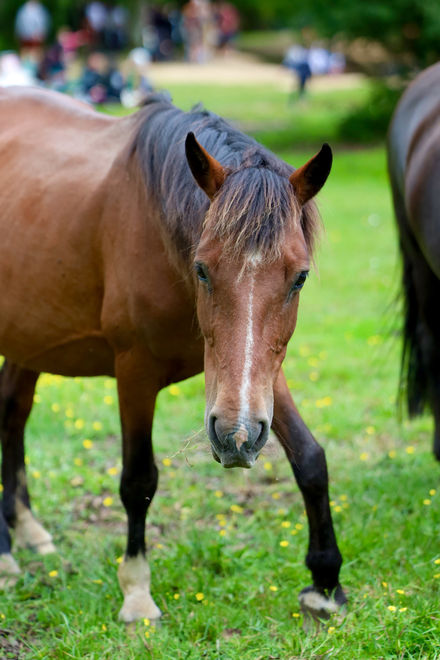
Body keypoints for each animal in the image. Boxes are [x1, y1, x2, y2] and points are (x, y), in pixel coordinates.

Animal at [0, 86, 346, 623]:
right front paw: (137, 592)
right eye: (202, 268)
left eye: (300, 277)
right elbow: (138, 479)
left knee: (12, 416)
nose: (236, 438)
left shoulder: (260, 379)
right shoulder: (135, 373)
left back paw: (26, 532)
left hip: (29, 339)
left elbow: (310, 458)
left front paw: (326, 582)